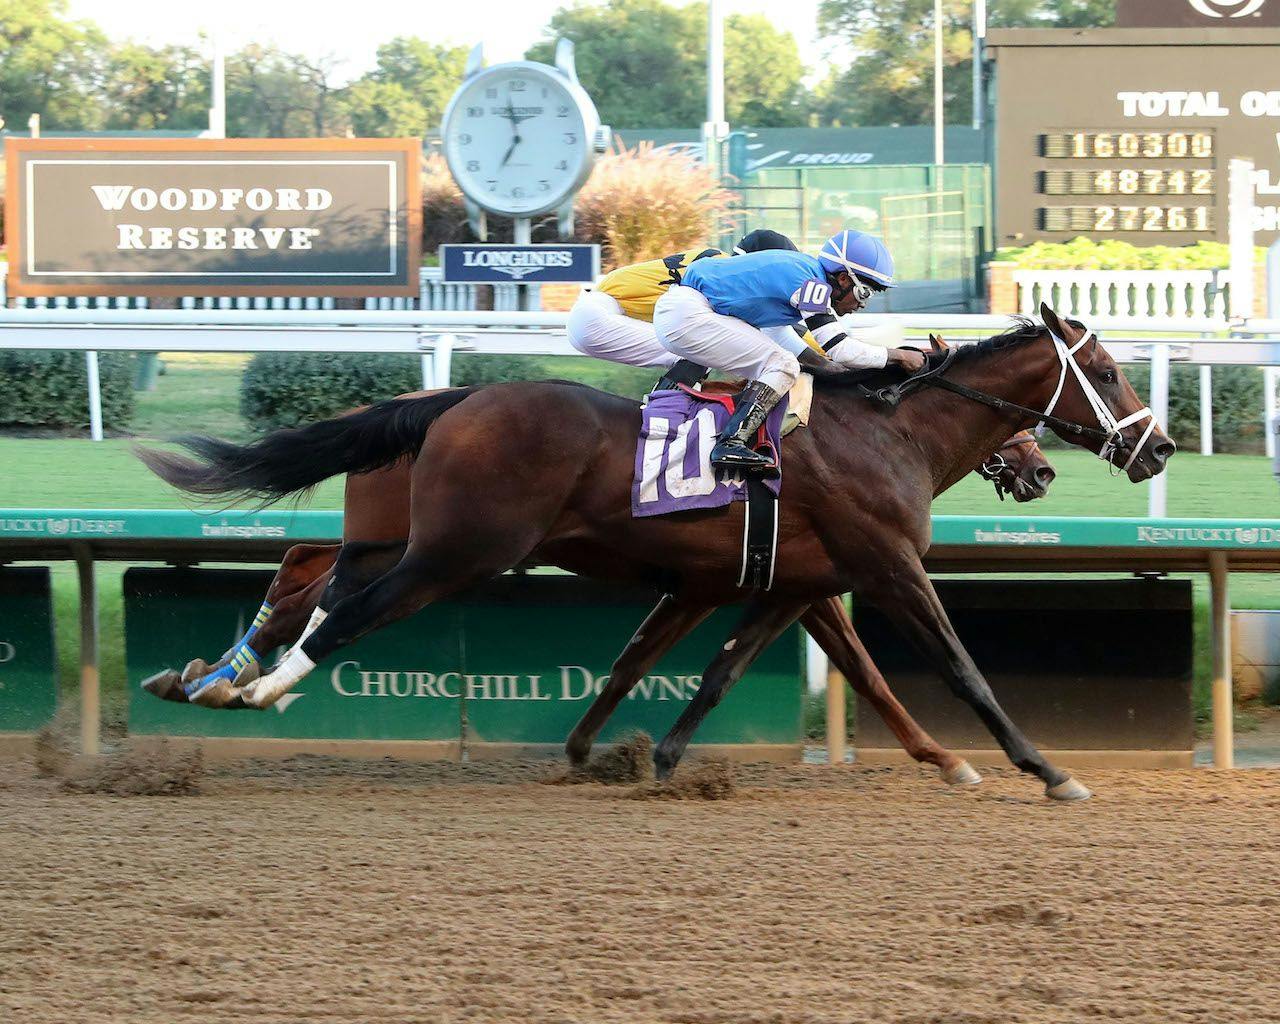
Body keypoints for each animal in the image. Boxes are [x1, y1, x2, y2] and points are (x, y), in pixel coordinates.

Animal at [140, 305, 1172, 798]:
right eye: (1106, 371)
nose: (1158, 447)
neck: (889, 432)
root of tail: (453, 400)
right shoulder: (881, 566)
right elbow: (955, 669)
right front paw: (1043, 770)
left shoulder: (775, 581)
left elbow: (701, 666)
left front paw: (639, 756)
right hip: (456, 552)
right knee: (342, 611)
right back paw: (255, 688)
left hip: (405, 538)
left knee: (311, 579)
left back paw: (211, 677)